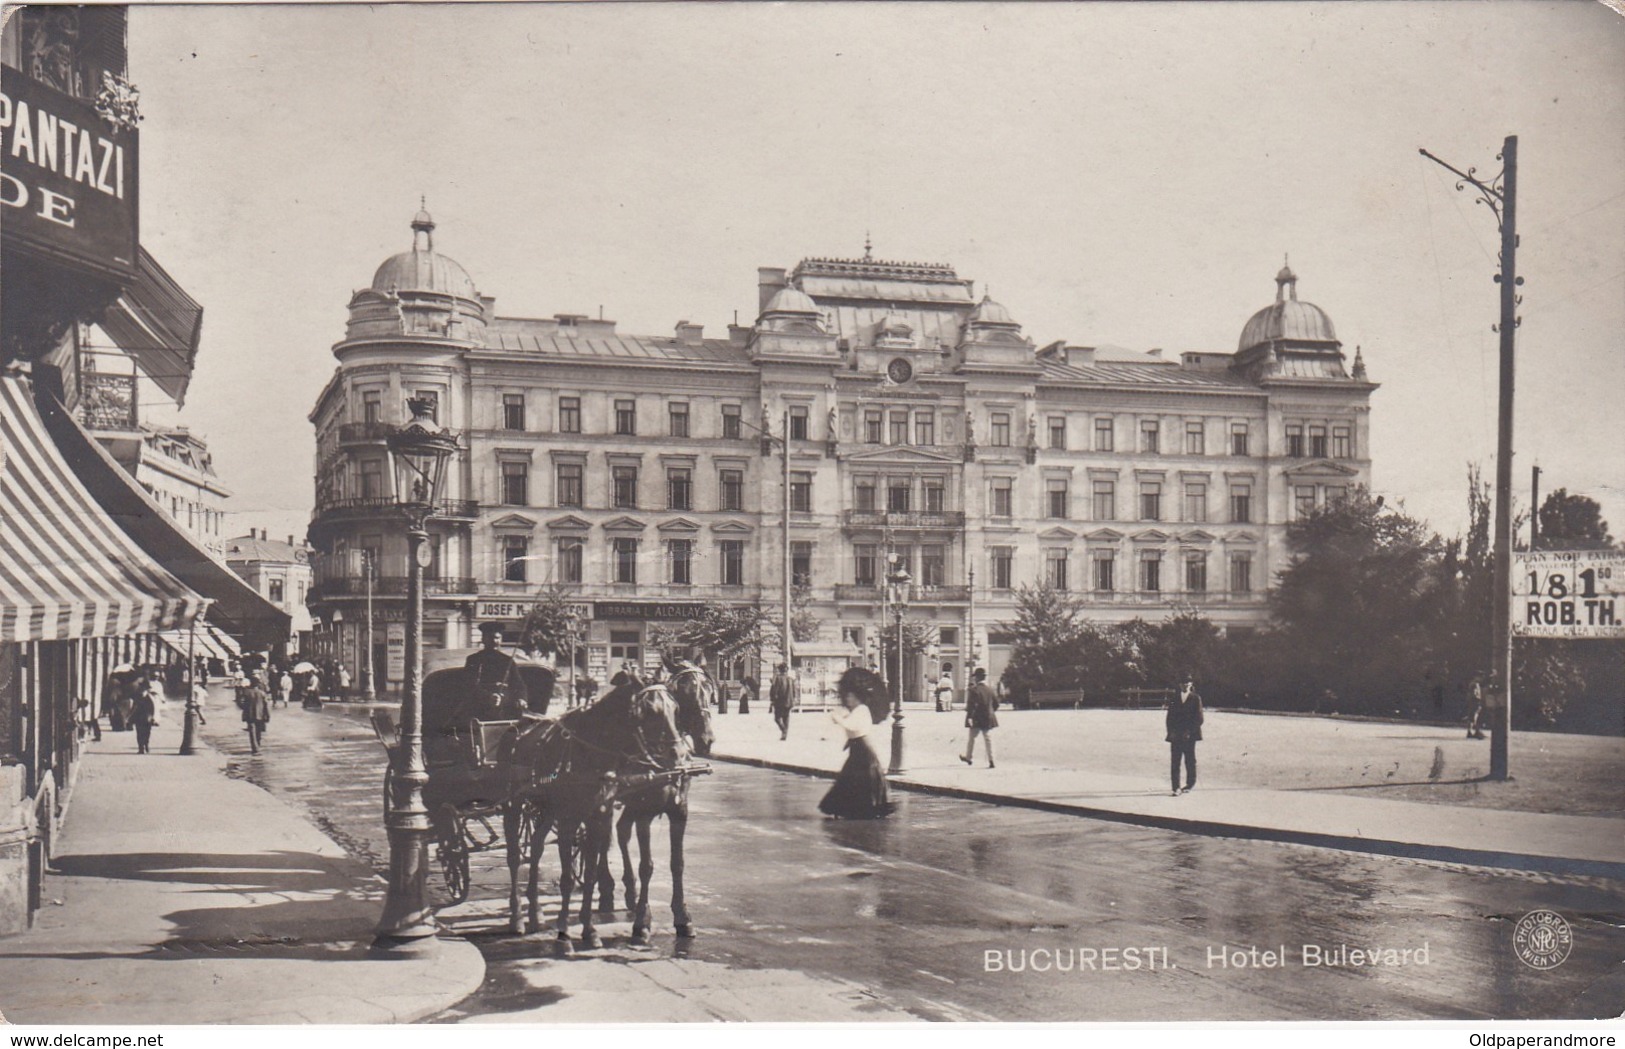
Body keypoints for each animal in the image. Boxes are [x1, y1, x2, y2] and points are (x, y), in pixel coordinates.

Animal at [500, 682, 692, 954]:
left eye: (676, 709)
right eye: (650, 713)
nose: (678, 756)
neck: (590, 752)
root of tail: (518, 724)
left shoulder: (668, 811)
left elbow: (675, 864)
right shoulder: (578, 818)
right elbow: (571, 877)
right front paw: (565, 934)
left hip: (549, 810)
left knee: (537, 846)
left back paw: (536, 912)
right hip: (513, 805)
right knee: (515, 857)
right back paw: (517, 915)